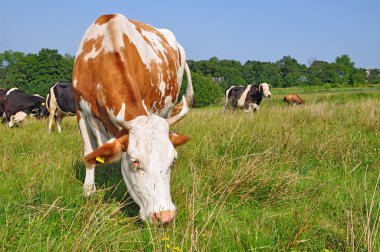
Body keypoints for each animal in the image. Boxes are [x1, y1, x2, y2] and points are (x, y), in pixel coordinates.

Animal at [73, 13, 194, 224]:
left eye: (172, 161)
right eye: (135, 162)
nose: (165, 215)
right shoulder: (80, 111)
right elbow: (89, 154)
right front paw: (88, 191)